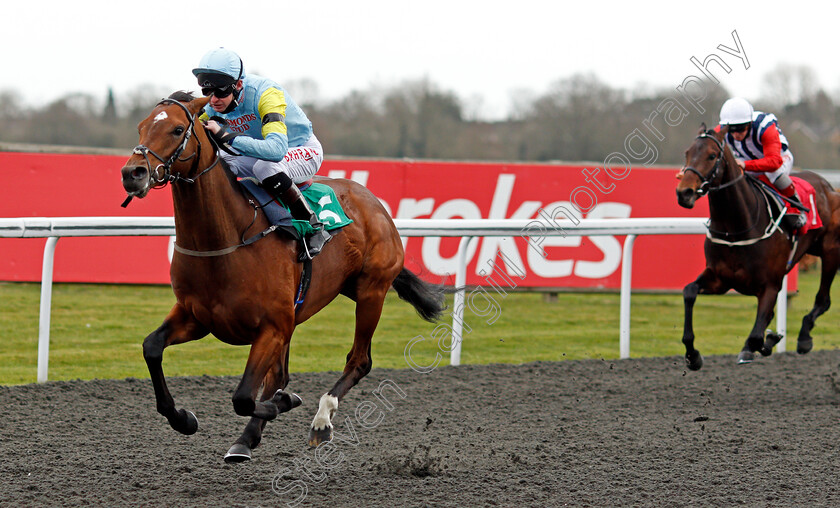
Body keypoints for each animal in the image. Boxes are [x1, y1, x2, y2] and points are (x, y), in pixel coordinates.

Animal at [120, 93, 446, 462]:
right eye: (142, 126)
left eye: (177, 129)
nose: (133, 173)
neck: (225, 239)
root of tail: (373, 202)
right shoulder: (198, 317)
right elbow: (152, 347)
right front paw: (184, 419)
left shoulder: (271, 327)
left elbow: (244, 396)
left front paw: (284, 404)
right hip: (323, 298)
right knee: (280, 374)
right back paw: (249, 437)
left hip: (371, 291)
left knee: (359, 361)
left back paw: (321, 419)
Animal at [676, 125, 840, 372]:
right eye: (687, 153)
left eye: (712, 156)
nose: (684, 193)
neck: (737, 228)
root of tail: (828, 186)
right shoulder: (720, 279)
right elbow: (689, 292)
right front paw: (692, 355)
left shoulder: (770, 285)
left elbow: (755, 336)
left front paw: (762, 343)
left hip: (830, 251)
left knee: (823, 299)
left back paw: (804, 337)